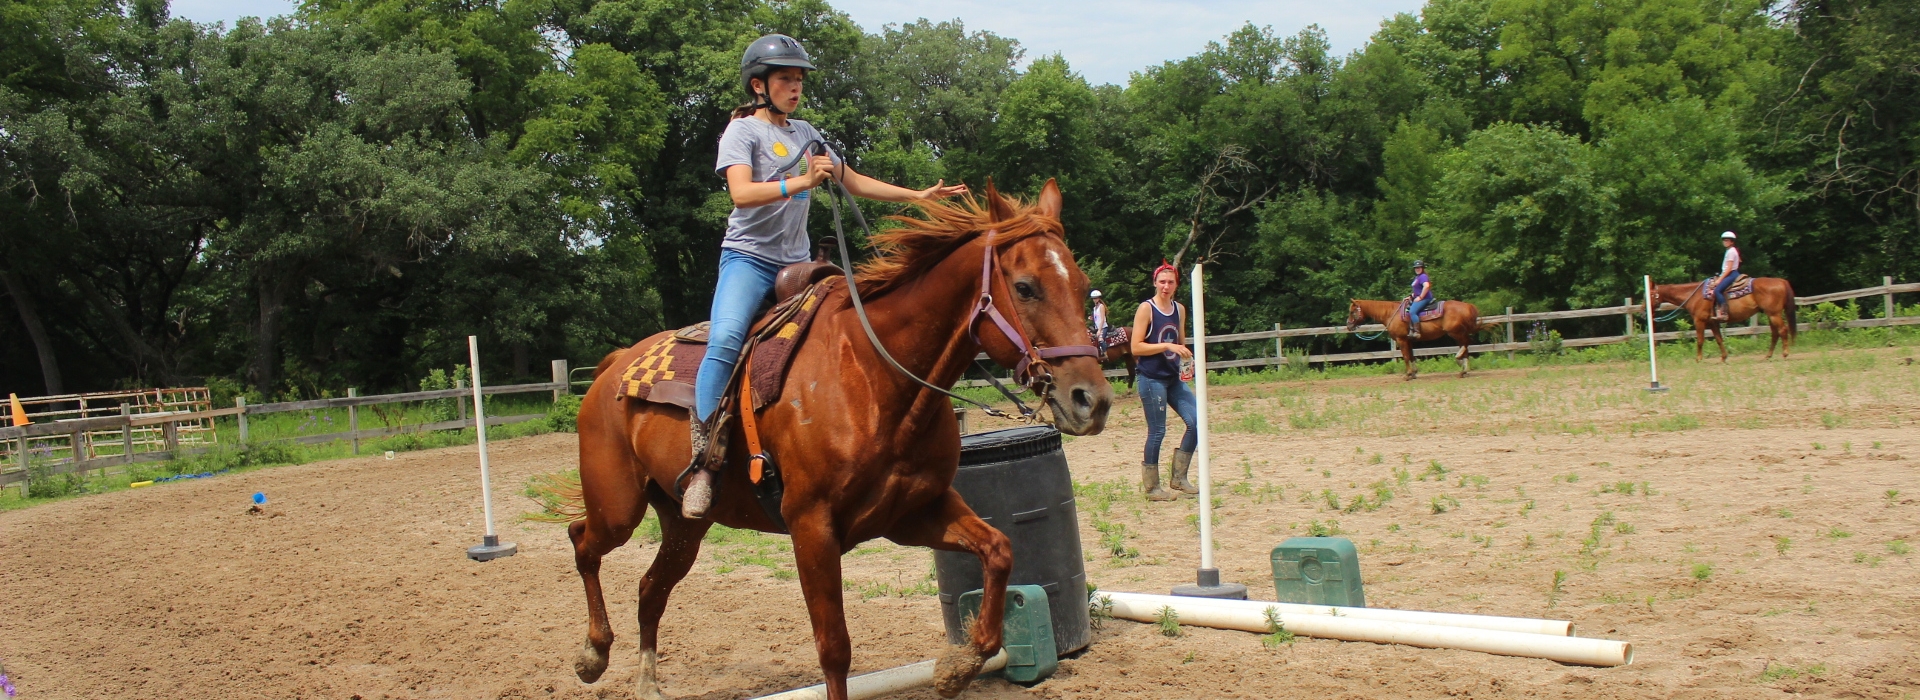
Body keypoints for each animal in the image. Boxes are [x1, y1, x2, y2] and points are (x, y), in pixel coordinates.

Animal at [560, 180, 1113, 700]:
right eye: (1025, 287)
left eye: (1082, 284)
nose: (1093, 400)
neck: (874, 376)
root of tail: (614, 367)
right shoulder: (811, 526)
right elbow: (834, 648)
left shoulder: (914, 511)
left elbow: (998, 551)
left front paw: (957, 668)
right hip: (618, 508)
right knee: (583, 541)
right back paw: (591, 655)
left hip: (683, 525)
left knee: (650, 588)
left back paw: (647, 682)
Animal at [1344, 299, 1490, 380]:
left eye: (1352, 312)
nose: (1348, 325)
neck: (1391, 313)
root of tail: (1468, 306)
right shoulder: (1409, 341)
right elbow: (1412, 356)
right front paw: (1414, 373)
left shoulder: (1401, 340)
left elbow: (1406, 357)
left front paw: (1408, 375)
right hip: (1458, 333)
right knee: (1466, 346)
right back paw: (1464, 371)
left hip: (1455, 333)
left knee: (1467, 343)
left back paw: (1460, 362)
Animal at [1649, 277, 1797, 362]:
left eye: (1650, 295)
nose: (1645, 308)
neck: (1695, 296)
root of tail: (1781, 281)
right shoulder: (1713, 322)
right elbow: (1719, 339)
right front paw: (1724, 357)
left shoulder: (1699, 321)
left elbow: (1700, 340)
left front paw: (1698, 359)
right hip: (1770, 314)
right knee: (1775, 333)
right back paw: (1768, 356)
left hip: (1774, 314)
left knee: (1783, 330)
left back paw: (1785, 353)